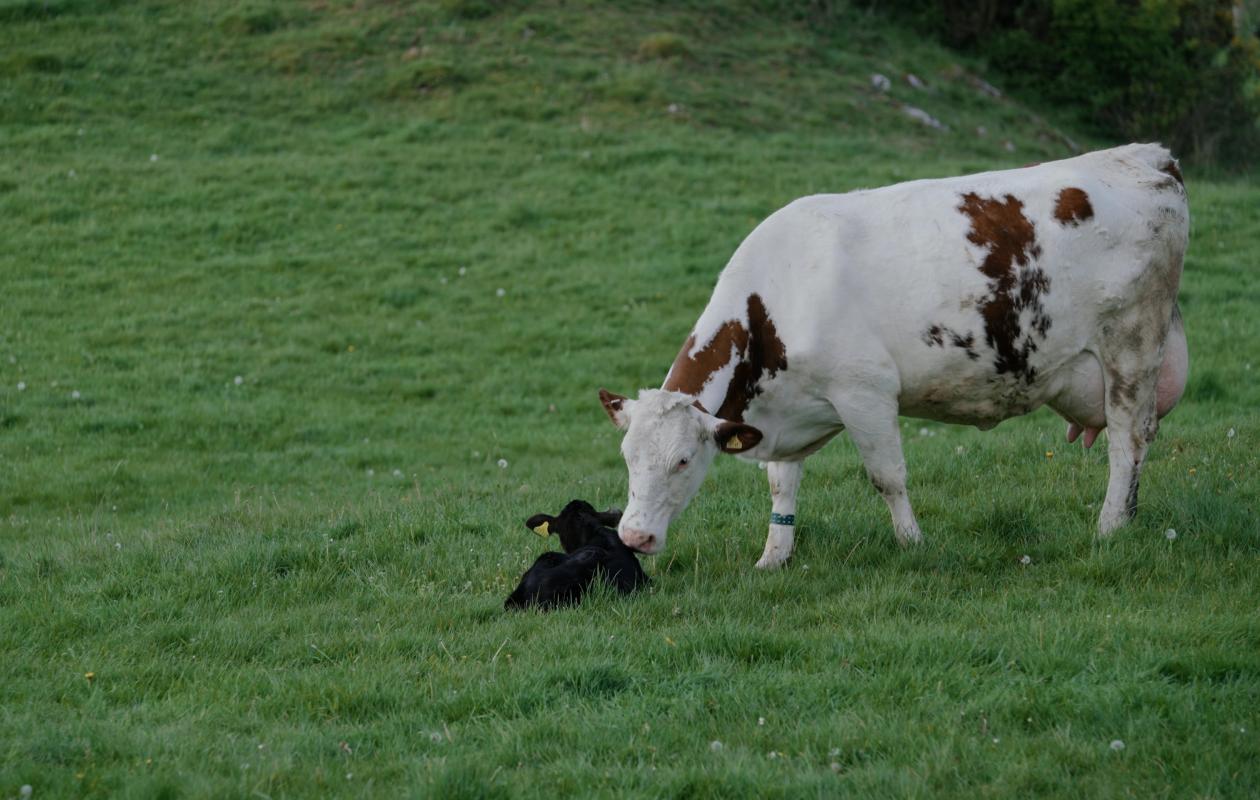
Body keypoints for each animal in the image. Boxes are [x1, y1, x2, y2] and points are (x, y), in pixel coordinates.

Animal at [598, 143, 1189, 567]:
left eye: (682, 460)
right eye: (627, 458)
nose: (634, 536)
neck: (778, 296)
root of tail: (1144, 155)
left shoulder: (865, 392)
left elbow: (888, 477)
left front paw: (913, 543)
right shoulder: (787, 408)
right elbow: (781, 485)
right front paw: (774, 557)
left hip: (1130, 346)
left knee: (1128, 439)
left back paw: (1110, 526)